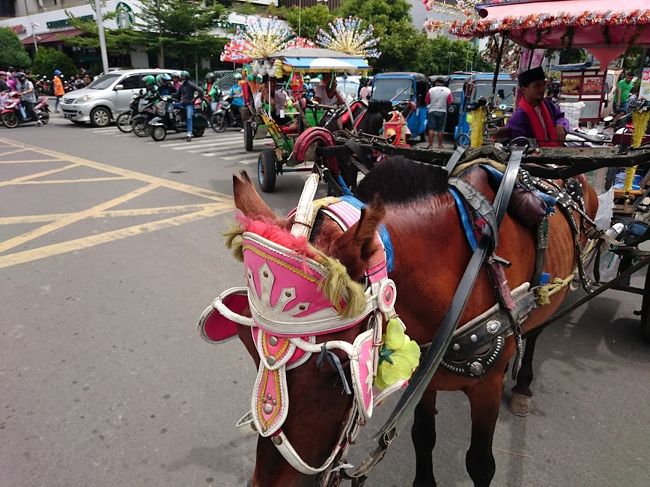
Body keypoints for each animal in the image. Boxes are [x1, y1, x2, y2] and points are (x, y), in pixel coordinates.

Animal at [225, 157, 596, 487]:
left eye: (338, 370)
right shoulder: (424, 372)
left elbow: (480, 464)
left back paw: (523, 382)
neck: (465, 274)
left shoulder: (486, 388)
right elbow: (423, 436)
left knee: (535, 333)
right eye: (249, 346)